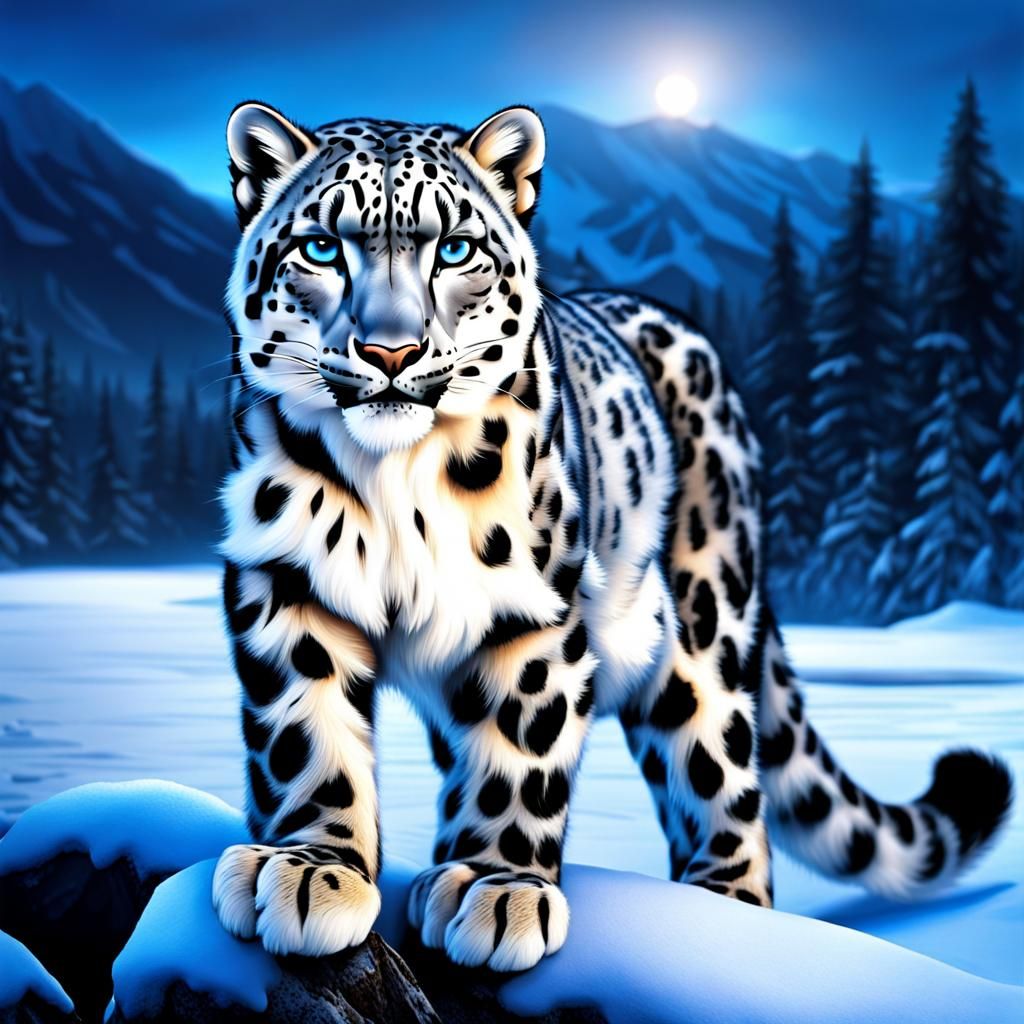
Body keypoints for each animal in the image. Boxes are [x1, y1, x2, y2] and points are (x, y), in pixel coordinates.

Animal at [212, 101, 1013, 971]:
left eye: (454, 248)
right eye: (322, 247)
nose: (392, 351)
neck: (396, 485)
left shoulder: (531, 608)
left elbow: (519, 746)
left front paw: (498, 889)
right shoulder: (285, 580)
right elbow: (306, 738)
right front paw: (311, 870)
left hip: (704, 626)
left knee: (722, 773)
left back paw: (725, 910)